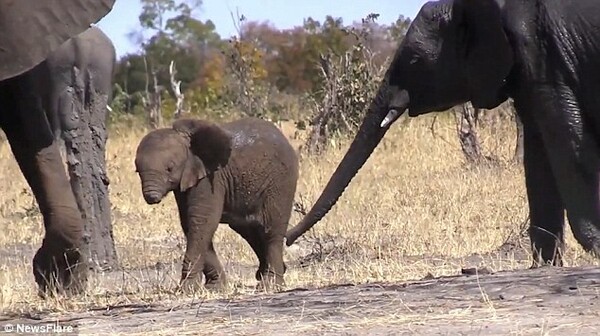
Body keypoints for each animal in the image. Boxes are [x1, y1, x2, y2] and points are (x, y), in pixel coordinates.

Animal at [134, 117, 298, 290]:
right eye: (137, 171)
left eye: (169, 168)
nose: (152, 197)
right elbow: (189, 224)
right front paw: (215, 287)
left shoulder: (211, 179)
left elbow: (202, 221)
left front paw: (186, 289)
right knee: (250, 230)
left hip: (282, 180)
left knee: (271, 229)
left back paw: (270, 284)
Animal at [284, 0, 600, 268]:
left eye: (414, 61)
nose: (286, 239)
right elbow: (538, 156)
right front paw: (543, 267)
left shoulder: (542, 54)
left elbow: (569, 145)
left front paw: (595, 247)